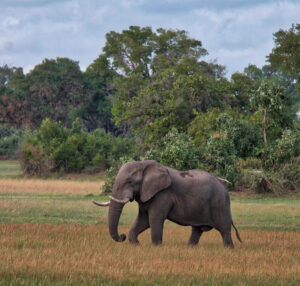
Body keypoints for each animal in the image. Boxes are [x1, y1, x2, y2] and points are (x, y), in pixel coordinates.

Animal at [92, 160, 243, 247]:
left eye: (129, 182)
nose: (121, 236)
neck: (143, 164)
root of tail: (224, 187)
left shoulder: (163, 194)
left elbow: (154, 219)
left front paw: (157, 247)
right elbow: (143, 220)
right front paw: (136, 245)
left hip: (220, 203)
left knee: (225, 230)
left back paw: (229, 249)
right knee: (197, 230)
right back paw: (189, 248)